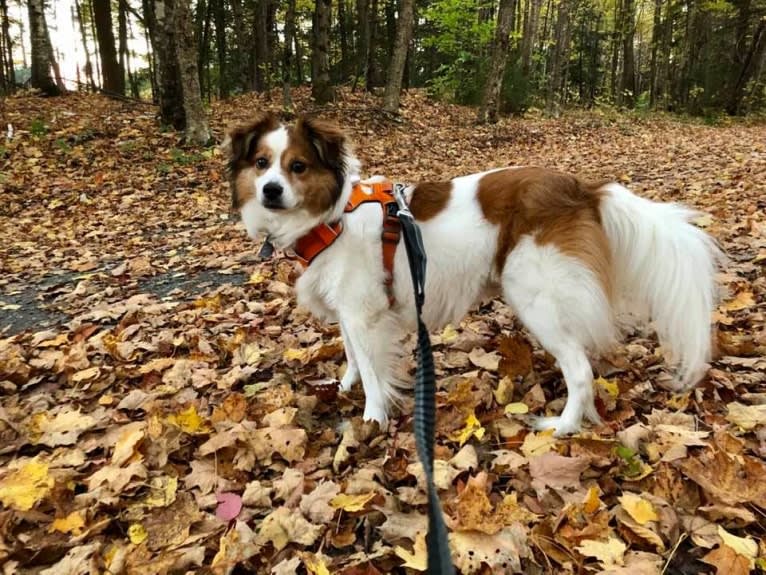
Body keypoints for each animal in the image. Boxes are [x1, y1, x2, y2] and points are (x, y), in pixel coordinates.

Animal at [225, 113, 724, 436]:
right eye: (261, 164)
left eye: (298, 167)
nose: (271, 190)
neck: (332, 216)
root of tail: (582, 188)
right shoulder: (350, 310)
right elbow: (352, 354)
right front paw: (346, 385)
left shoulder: (364, 311)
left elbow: (370, 366)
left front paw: (372, 416)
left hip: (537, 297)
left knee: (580, 371)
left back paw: (561, 426)